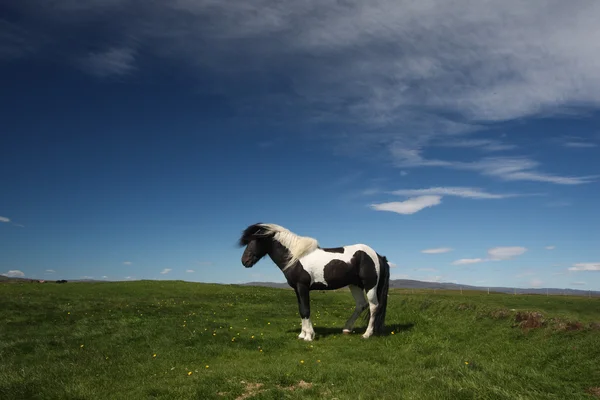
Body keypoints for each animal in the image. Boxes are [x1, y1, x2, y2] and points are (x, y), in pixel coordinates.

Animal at [237, 222, 392, 340]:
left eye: (256, 240)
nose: (245, 261)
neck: (296, 257)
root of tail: (377, 255)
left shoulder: (302, 287)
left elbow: (306, 310)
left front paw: (309, 336)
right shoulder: (297, 289)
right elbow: (301, 310)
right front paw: (302, 334)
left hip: (370, 285)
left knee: (373, 306)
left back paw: (367, 334)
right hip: (355, 285)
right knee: (361, 305)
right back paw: (347, 329)